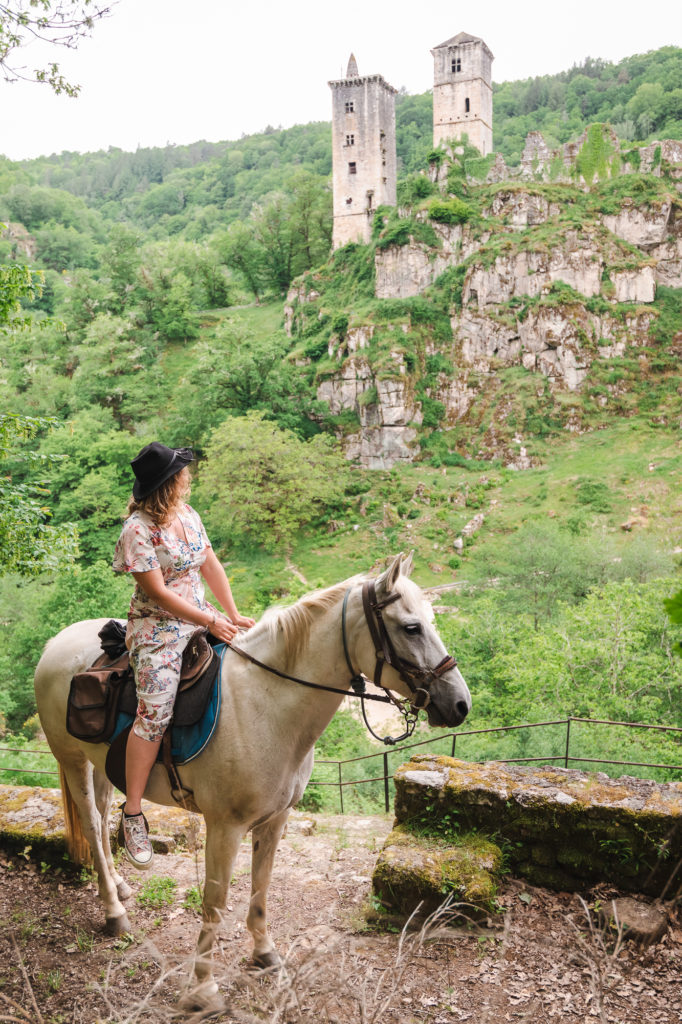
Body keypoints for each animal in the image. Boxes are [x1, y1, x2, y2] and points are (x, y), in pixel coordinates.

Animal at [33, 552, 466, 1007]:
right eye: (411, 627)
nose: (460, 704)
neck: (266, 704)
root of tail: (55, 644)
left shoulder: (274, 820)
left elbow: (260, 888)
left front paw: (264, 954)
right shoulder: (224, 827)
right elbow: (215, 901)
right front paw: (202, 988)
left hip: (100, 764)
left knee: (101, 820)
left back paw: (118, 886)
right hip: (72, 760)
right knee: (92, 823)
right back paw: (114, 911)